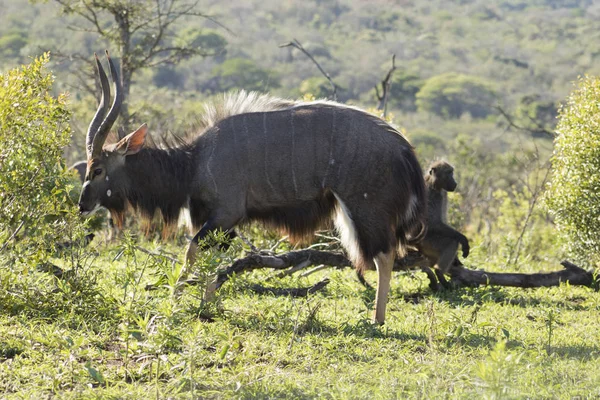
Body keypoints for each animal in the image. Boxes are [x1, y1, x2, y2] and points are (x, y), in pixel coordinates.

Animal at [78, 51, 426, 324]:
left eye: (98, 169)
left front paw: (177, 303)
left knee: (385, 255)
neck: (193, 161)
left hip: (364, 209)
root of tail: (405, 150)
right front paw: (206, 305)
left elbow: (192, 251)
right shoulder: (224, 225)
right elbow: (212, 262)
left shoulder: (225, 215)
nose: (82, 205)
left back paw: (377, 320)